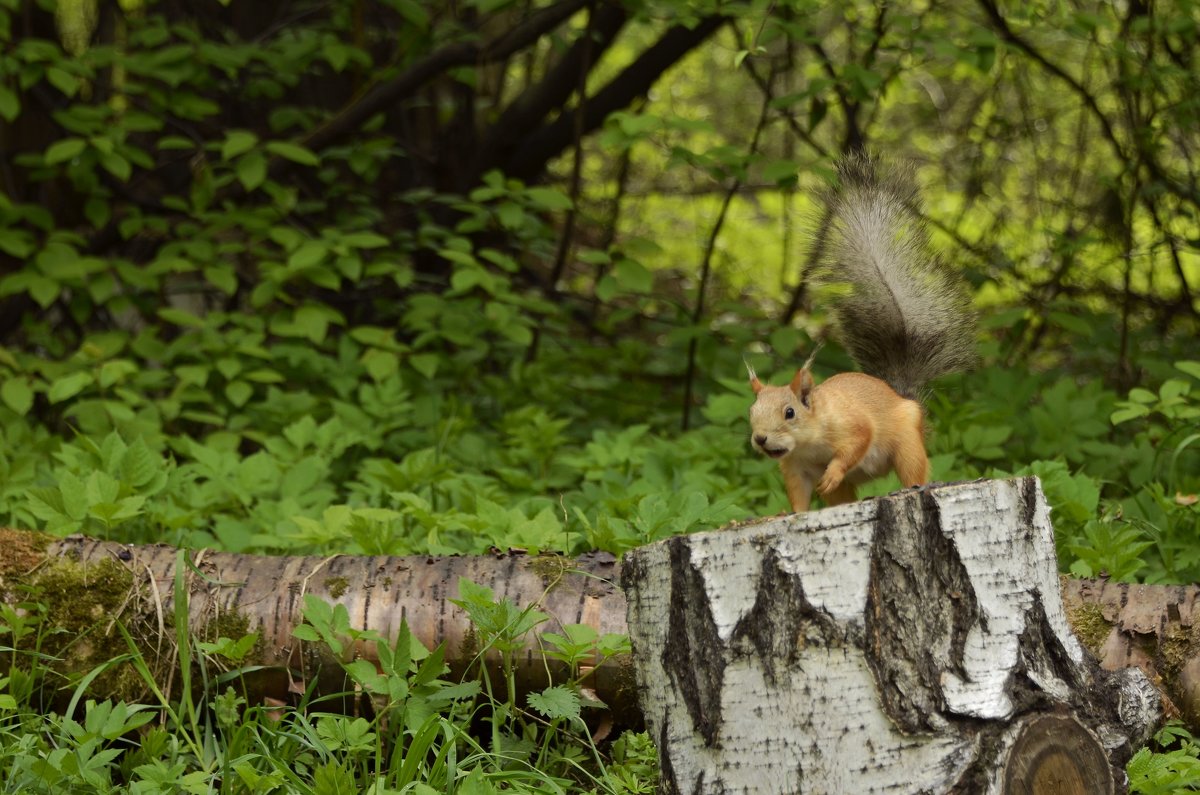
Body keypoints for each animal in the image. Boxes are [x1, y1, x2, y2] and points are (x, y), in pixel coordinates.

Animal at [748, 154, 974, 513]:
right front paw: (791, 513)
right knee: (840, 496)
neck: (809, 441)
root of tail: (901, 396)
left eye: (789, 412)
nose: (760, 438)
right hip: (845, 489)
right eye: (752, 412)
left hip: (907, 445)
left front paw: (832, 471)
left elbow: (857, 442)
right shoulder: (796, 467)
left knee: (913, 469)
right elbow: (798, 494)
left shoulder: (852, 425)